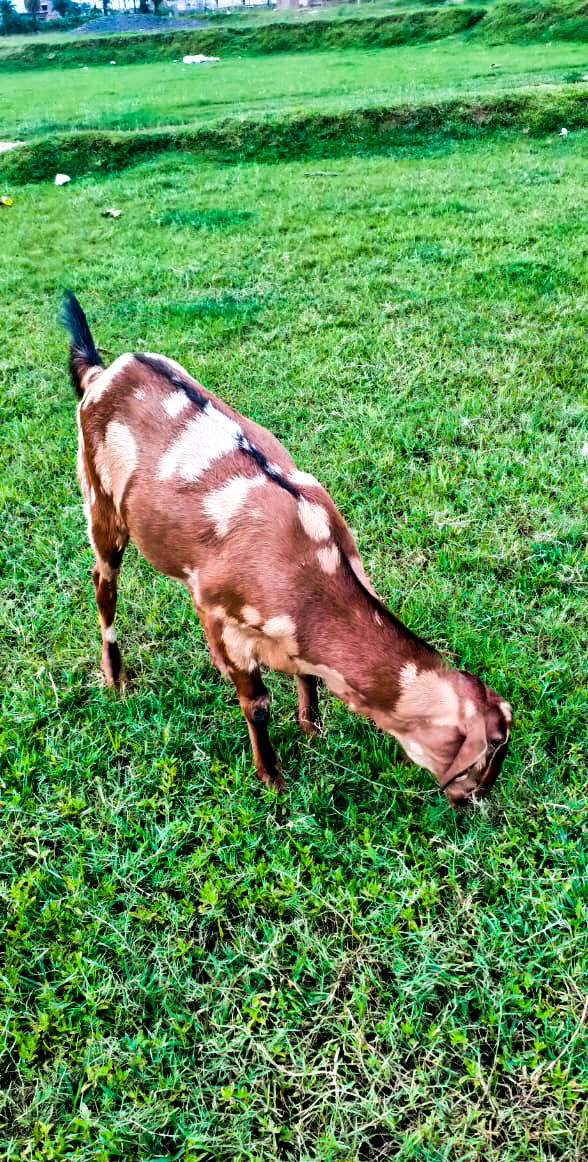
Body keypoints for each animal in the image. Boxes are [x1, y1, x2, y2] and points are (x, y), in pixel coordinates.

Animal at [61, 291, 512, 807]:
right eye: (481, 765)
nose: (475, 802)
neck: (309, 565)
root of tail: (101, 373)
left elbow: (307, 677)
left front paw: (313, 729)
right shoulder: (221, 617)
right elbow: (256, 704)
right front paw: (273, 778)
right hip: (99, 500)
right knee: (104, 584)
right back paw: (115, 677)